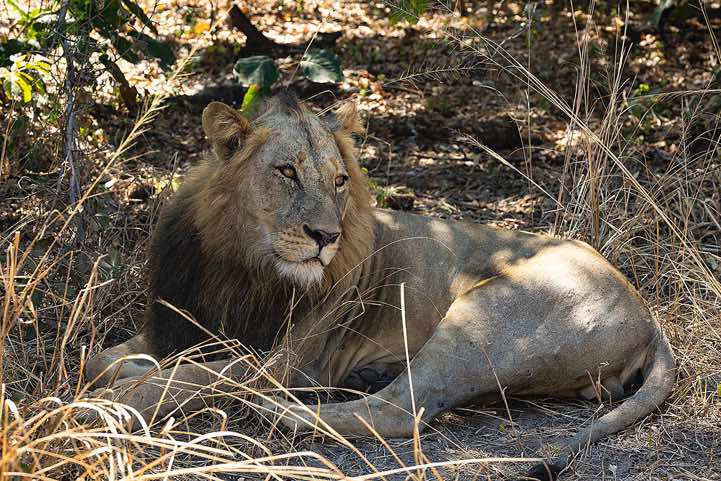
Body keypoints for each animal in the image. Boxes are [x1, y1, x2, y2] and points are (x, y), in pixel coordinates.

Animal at [85, 91, 675, 481]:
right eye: (286, 172)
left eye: (340, 180)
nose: (327, 236)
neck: (243, 263)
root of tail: (647, 315)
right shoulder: (179, 326)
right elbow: (102, 359)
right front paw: (118, 376)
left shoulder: (278, 360)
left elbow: (184, 379)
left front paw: (110, 406)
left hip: (484, 312)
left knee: (400, 410)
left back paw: (284, 413)